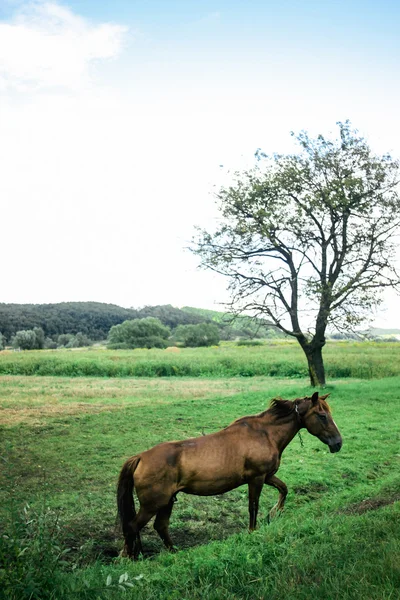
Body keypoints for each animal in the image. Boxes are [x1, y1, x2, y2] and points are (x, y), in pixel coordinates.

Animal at [117, 392, 342, 560]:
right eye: (322, 415)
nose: (338, 443)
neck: (265, 434)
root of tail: (140, 457)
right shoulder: (256, 478)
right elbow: (253, 507)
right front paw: (253, 531)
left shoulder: (267, 476)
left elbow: (284, 489)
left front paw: (273, 514)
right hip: (153, 504)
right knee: (132, 526)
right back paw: (128, 557)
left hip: (167, 501)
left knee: (160, 526)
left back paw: (174, 553)